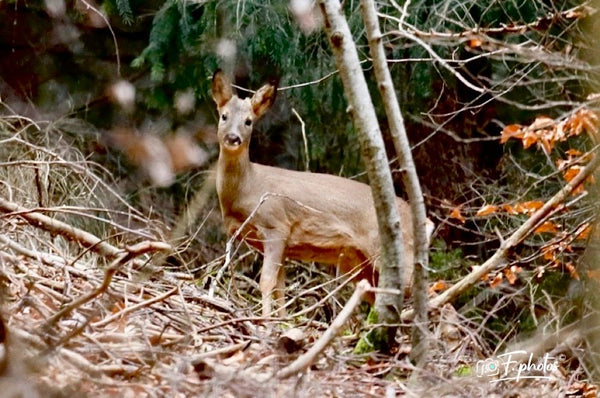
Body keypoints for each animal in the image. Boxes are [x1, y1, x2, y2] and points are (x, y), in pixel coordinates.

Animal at [211, 70, 432, 316]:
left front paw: (266, 319)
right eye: (224, 116)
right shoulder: (283, 244)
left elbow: (266, 281)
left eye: (248, 121)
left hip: (396, 250)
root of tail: (424, 221)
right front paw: (283, 319)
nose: (233, 138)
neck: (248, 188)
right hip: (356, 262)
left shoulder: (276, 225)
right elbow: (280, 287)